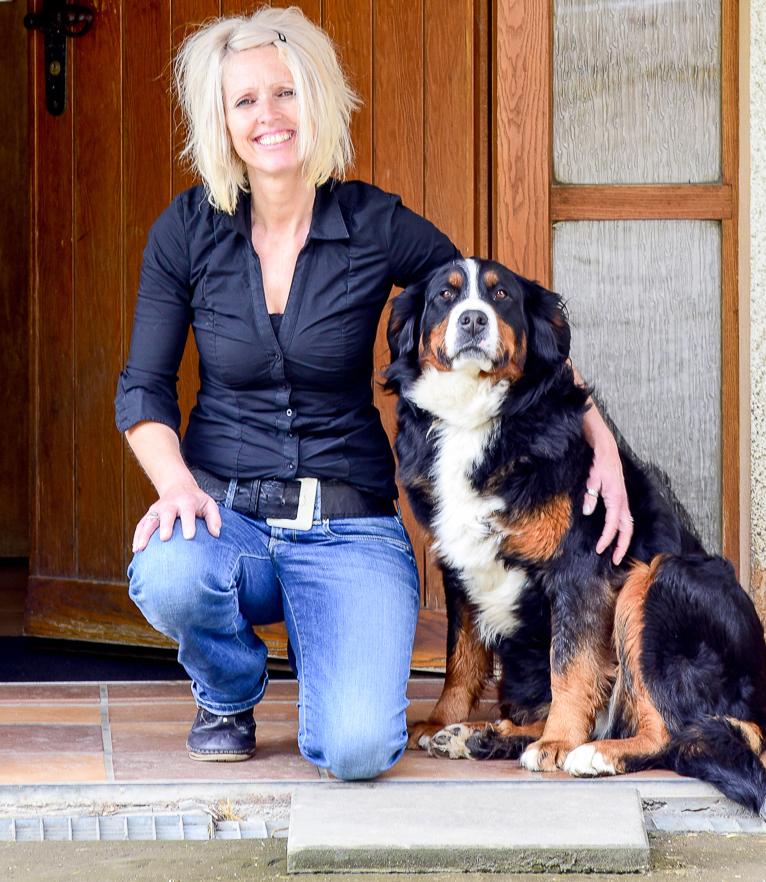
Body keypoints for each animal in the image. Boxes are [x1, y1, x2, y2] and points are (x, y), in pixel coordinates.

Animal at [385, 257, 766, 818]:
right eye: (445, 296)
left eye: (501, 296)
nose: (473, 319)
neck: (476, 417)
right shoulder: (458, 565)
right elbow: (461, 658)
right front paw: (440, 720)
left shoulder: (581, 568)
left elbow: (571, 663)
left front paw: (560, 742)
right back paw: (479, 735)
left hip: (657, 578)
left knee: (674, 731)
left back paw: (596, 751)